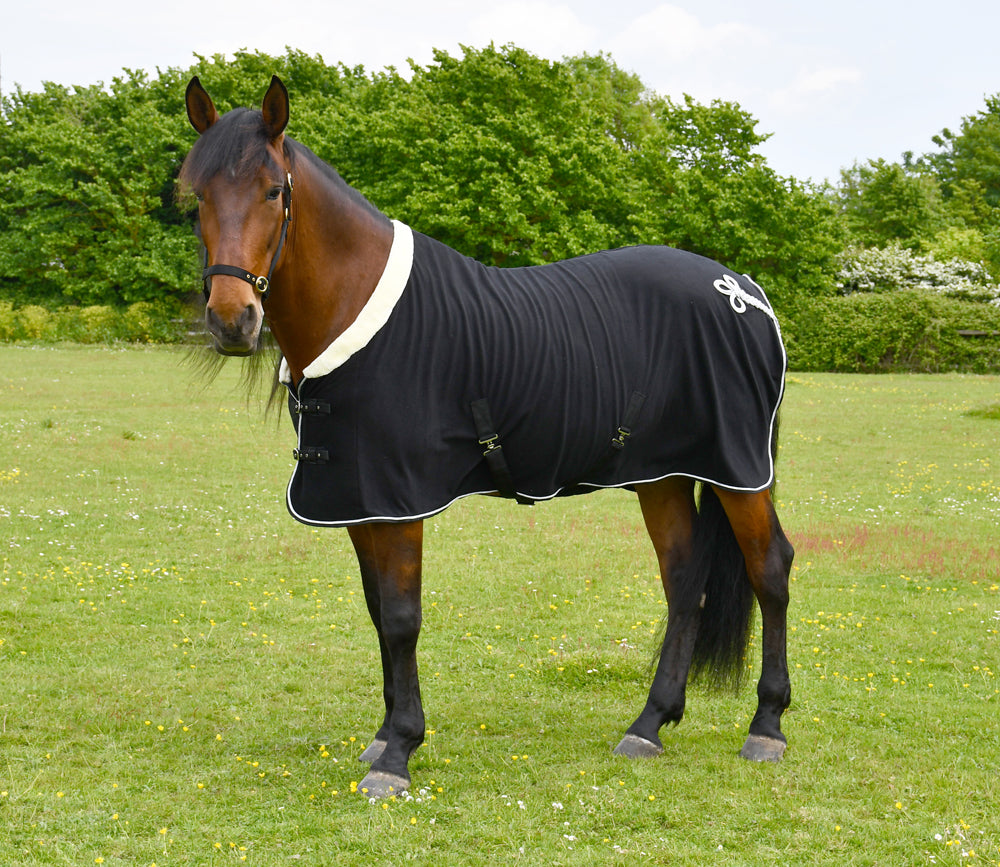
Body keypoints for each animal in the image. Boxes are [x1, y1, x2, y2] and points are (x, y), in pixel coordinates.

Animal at [180, 75, 795, 799]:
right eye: (197, 196)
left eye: (274, 190)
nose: (232, 320)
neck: (357, 310)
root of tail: (743, 291)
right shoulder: (357, 497)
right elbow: (377, 611)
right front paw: (384, 735)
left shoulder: (398, 500)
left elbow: (402, 617)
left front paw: (398, 754)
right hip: (662, 474)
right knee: (683, 579)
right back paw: (649, 723)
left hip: (737, 470)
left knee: (770, 569)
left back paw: (767, 726)